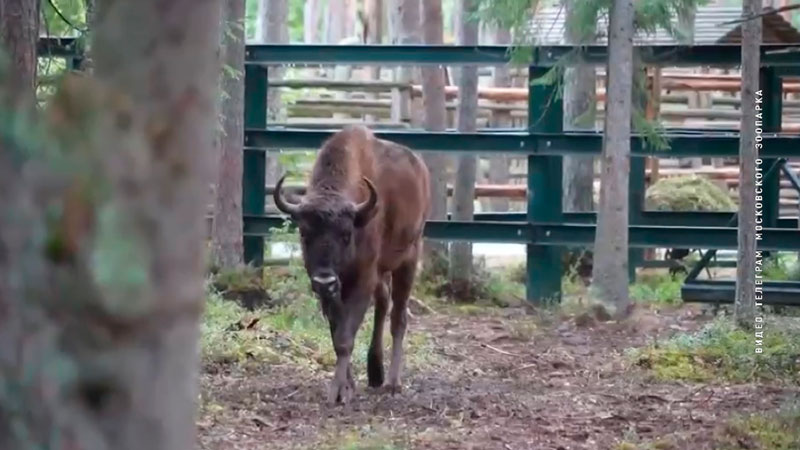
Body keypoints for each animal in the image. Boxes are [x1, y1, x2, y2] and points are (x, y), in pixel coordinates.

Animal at [272, 124, 432, 404]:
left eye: (346, 234)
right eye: (304, 233)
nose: (325, 280)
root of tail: (420, 168)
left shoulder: (362, 279)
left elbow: (346, 336)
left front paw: (338, 391)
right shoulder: (332, 289)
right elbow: (337, 332)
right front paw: (347, 385)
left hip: (408, 259)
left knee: (398, 317)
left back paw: (392, 383)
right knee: (383, 303)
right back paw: (375, 372)